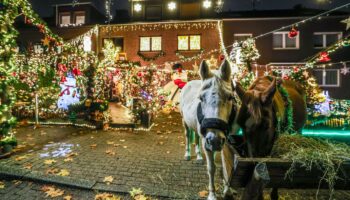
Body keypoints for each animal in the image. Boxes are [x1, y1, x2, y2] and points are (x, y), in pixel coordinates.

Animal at [180, 60, 235, 199]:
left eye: (230, 97)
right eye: (201, 98)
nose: (214, 140)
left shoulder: (225, 142)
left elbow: (227, 166)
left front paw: (228, 191)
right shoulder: (208, 142)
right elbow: (211, 168)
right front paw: (212, 195)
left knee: (197, 139)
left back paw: (199, 156)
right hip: (185, 123)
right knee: (188, 136)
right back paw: (187, 154)